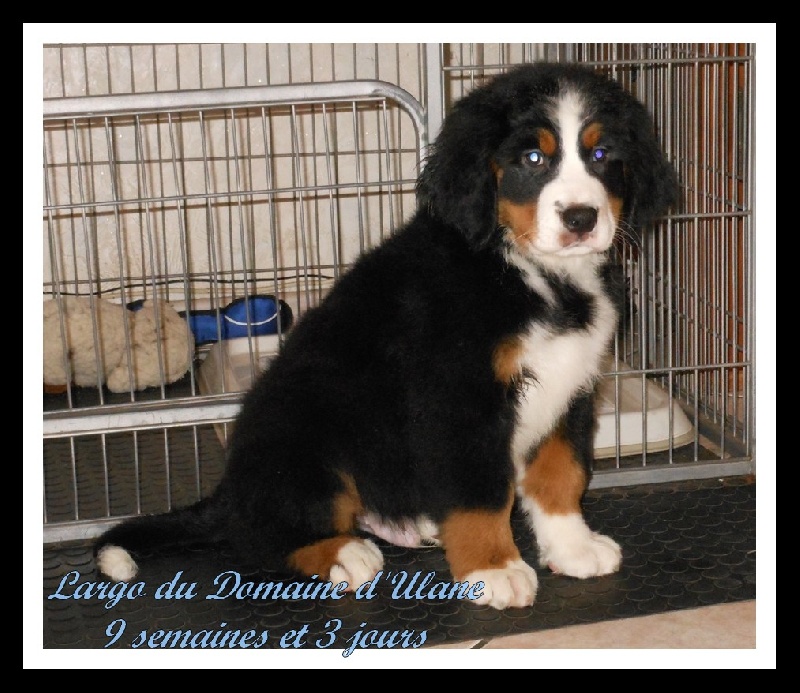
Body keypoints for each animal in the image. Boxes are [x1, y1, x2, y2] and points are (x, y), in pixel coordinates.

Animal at [95, 62, 678, 610]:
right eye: (533, 159)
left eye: (601, 154)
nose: (581, 217)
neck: (531, 274)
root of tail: (228, 490)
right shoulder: (459, 400)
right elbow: (480, 493)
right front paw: (493, 569)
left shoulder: (572, 385)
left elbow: (562, 474)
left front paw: (572, 548)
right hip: (303, 434)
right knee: (261, 536)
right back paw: (346, 553)